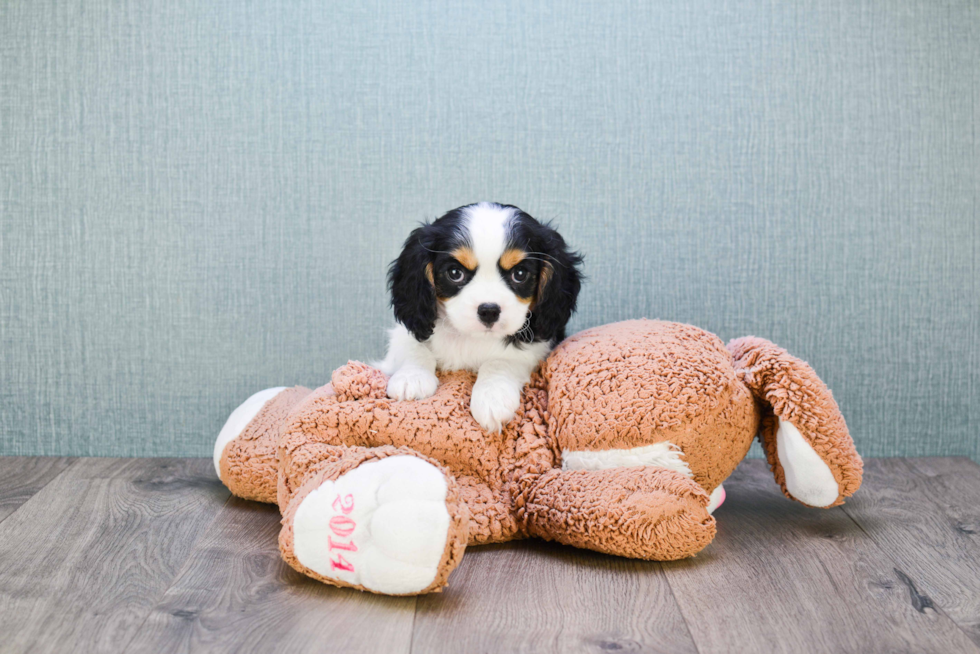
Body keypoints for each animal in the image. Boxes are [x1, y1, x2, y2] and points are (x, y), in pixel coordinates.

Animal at [378, 202, 580, 434]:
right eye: (455, 273)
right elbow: (413, 347)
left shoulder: (536, 345)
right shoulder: (408, 328)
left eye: (520, 274)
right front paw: (411, 378)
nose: (489, 310)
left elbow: (500, 361)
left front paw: (493, 397)